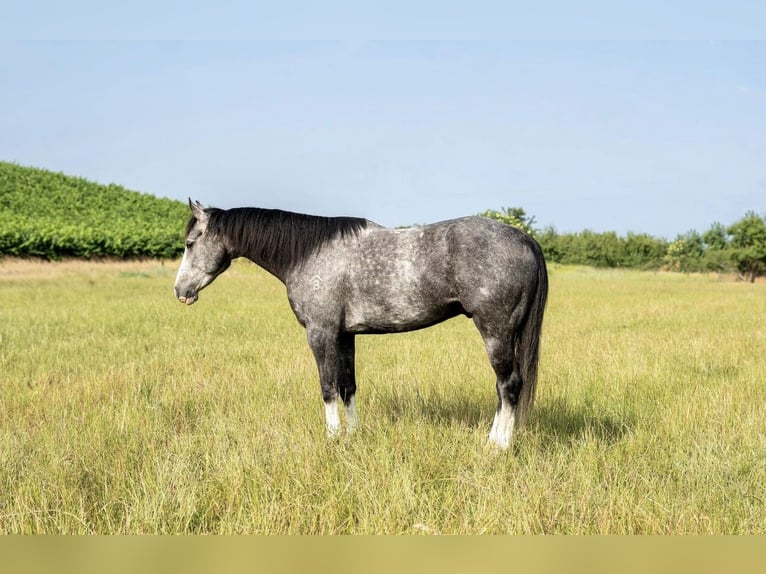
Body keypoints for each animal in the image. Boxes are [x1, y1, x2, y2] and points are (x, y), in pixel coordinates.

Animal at [176, 201, 544, 450]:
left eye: (190, 243)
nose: (181, 292)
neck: (308, 254)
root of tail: (523, 238)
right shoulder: (345, 336)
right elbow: (347, 386)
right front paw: (353, 435)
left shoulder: (321, 333)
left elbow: (327, 387)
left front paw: (332, 437)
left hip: (495, 332)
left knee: (508, 385)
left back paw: (497, 446)